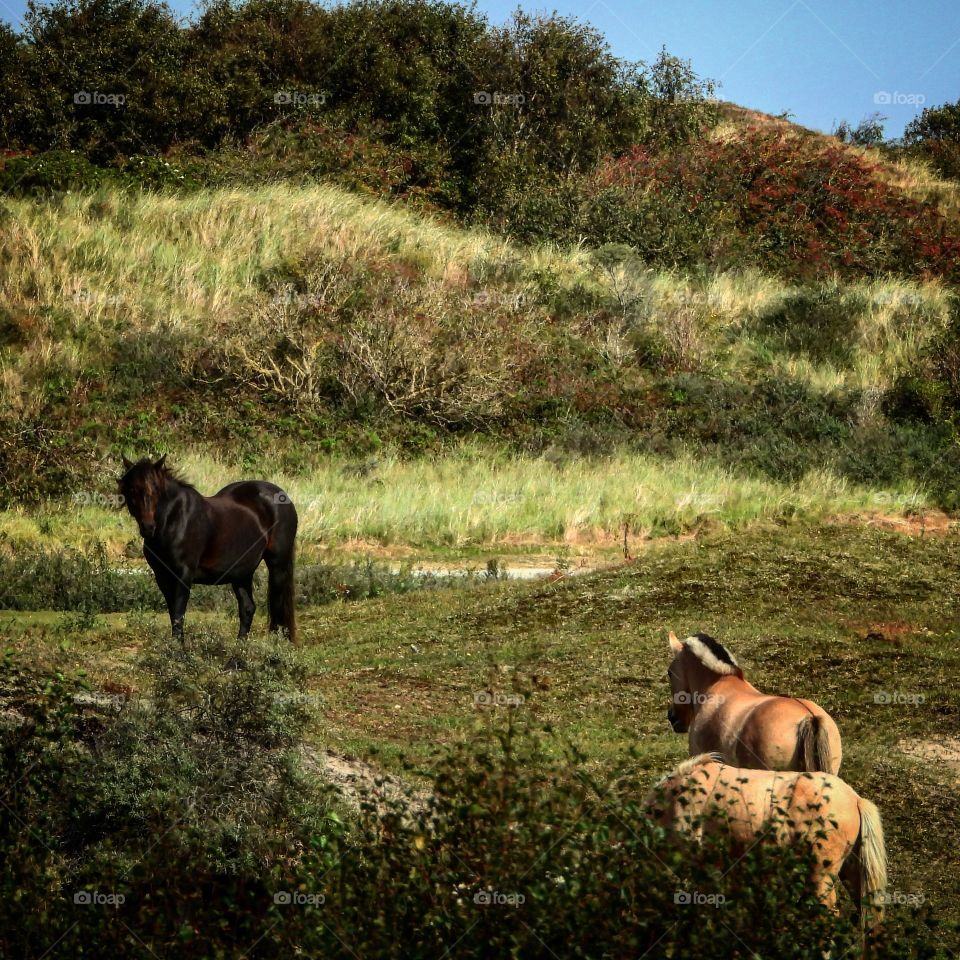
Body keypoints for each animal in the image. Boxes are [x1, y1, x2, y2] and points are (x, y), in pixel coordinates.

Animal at [118, 455, 298, 643]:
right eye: (132, 489)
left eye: (155, 488)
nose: (148, 527)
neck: (175, 520)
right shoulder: (162, 576)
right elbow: (173, 615)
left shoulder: (183, 575)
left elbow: (178, 615)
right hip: (242, 572)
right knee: (248, 608)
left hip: (277, 565)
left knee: (278, 607)